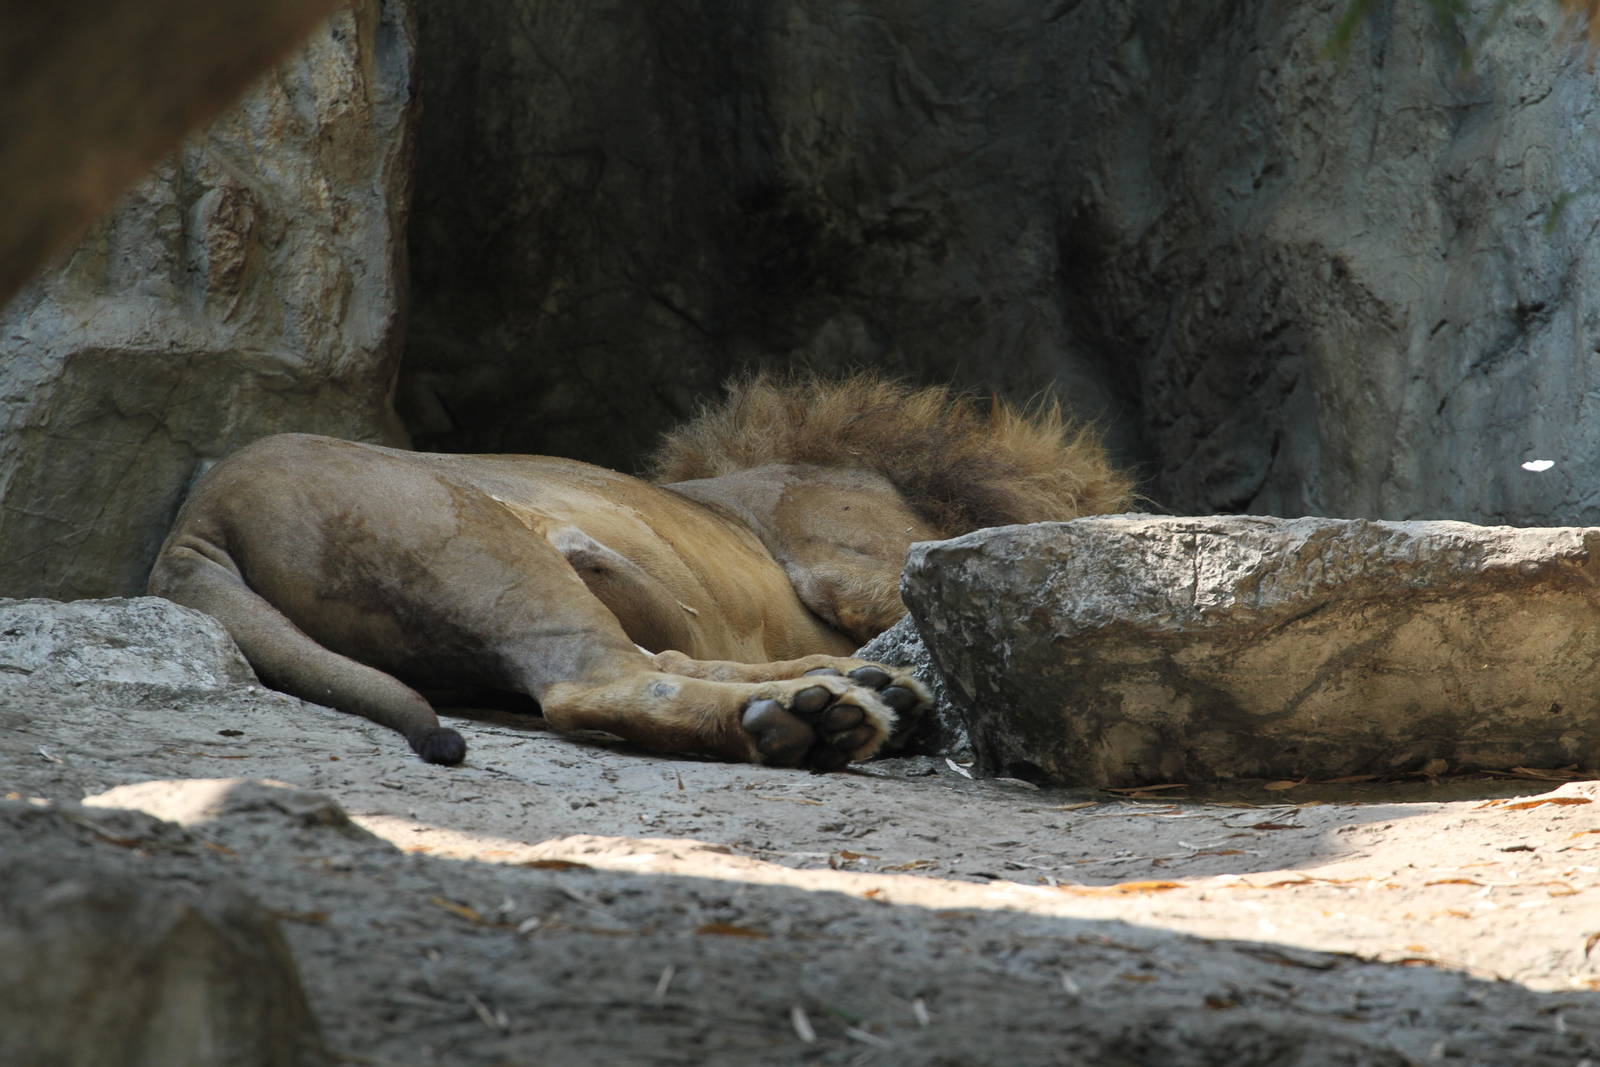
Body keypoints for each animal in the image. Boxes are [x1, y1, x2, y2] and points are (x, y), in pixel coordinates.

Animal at [147, 374, 1134, 769]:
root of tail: (192, 526)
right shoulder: (855, 551)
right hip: (485, 538)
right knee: (600, 682)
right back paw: (814, 718)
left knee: (662, 662)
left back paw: (849, 693)